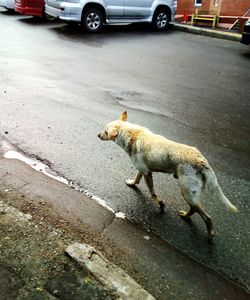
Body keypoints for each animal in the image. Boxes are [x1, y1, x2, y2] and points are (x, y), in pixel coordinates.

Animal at [97, 111, 238, 240]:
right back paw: (185, 216)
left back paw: (209, 235)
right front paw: (132, 184)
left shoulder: (147, 173)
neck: (132, 134)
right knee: (194, 209)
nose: (97, 135)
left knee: (207, 217)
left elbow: (152, 193)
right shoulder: (143, 169)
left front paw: (160, 204)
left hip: (186, 192)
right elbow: (137, 178)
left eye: (105, 132)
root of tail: (200, 160)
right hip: (190, 193)